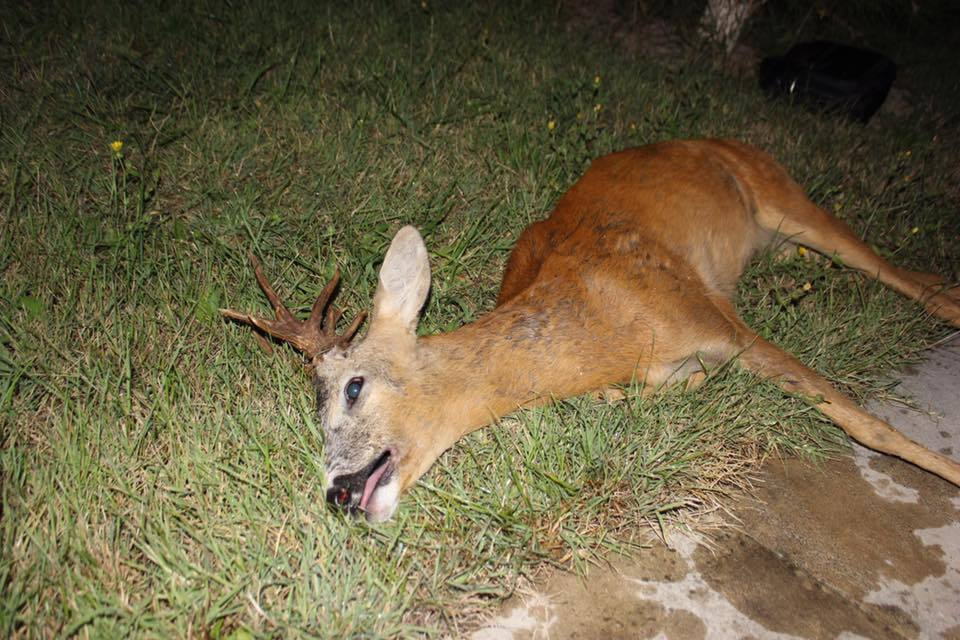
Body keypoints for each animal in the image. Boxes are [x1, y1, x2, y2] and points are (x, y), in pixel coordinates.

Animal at [219, 139, 960, 520]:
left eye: (352, 387)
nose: (337, 492)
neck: (608, 326)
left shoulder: (716, 319)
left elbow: (865, 422)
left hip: (781, 192)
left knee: (884, 264)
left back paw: (945, 299)